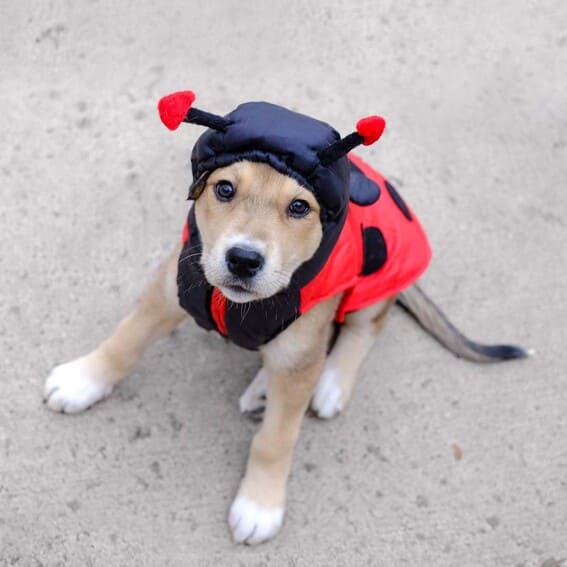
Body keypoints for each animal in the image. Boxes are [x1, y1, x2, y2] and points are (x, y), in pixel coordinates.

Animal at [44, 91, 528, 544]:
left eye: (299, 207)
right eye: (224, 189)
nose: (242, 260)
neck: (234, 302)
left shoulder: (298, 354)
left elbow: (275, 440)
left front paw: (259, 505)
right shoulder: (170, 287)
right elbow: (126, 340)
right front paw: (83, 380)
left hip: (375, 281)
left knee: (362, 327)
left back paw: (329, 384)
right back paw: (264, 388)